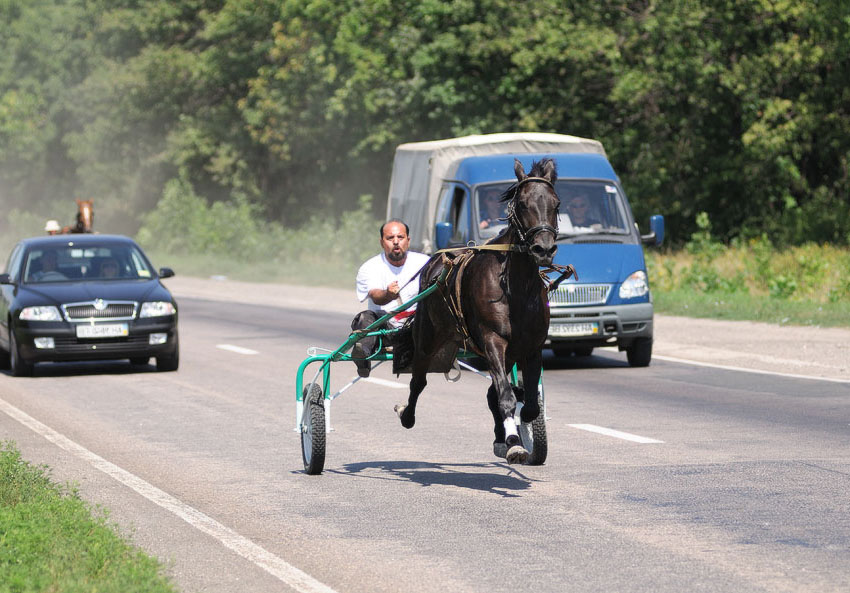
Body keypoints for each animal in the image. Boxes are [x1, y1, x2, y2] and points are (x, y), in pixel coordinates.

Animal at [392, 160, 568, 464]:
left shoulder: (531, 347)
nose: (543, 249)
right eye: (523, 203)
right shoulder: (492, 341)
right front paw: (514, 441)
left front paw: (515, 434)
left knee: (491, 393)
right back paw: (407, 414)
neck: (515, 288)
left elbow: (528, 404)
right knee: (418, 381)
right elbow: (506, 396)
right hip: (427, 338)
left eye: (555, 203)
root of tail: (435, 262)